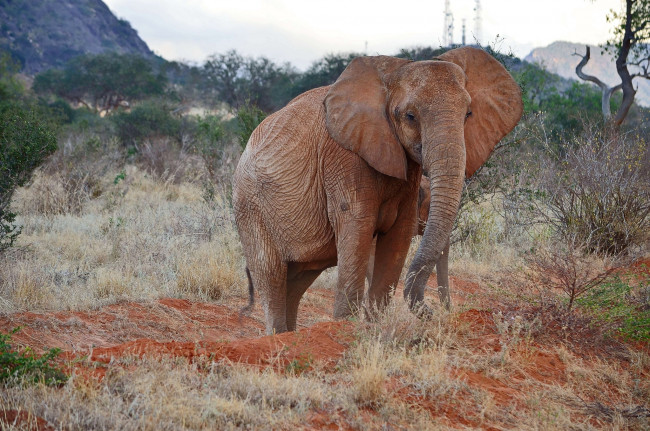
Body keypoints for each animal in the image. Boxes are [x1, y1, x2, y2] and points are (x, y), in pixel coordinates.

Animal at [233, 46, 520, 334]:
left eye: (468, 114)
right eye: (410, 116)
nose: (436, 312)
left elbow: (398, 239)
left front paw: (375, 326)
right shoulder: (343, 158)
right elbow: (357, 229)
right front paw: (347, 327)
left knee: (297, 280)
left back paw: (290, 335)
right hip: (249, 207)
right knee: (271, 275)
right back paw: (277, 334)